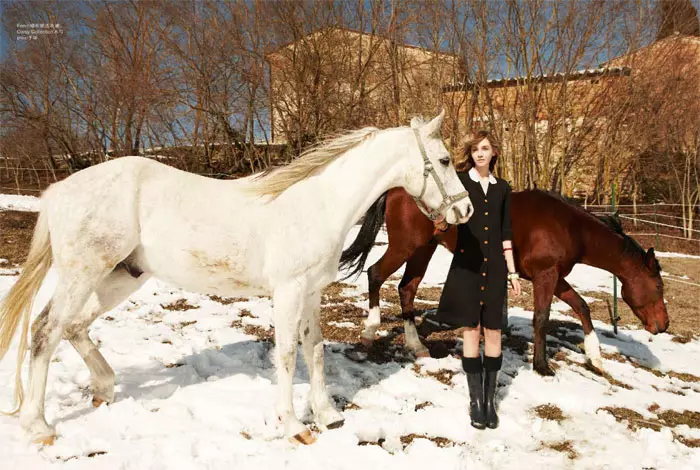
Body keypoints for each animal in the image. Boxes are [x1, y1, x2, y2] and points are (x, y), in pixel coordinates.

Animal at [0, 110, 474, 444]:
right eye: (444, 160)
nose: (465, 210)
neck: (317, 205)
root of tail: (56, 191)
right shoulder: (288, 292)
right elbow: (287, 356)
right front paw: (293, 427)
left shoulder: (311, 294)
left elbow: (315, 351)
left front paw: (328, 416)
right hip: (84, 274)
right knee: (46, 331)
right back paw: (39, 427)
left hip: (122, 276)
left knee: (74, 327)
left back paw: (104, 388)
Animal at [342, 187, 668, 374]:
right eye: (658, 286)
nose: (663, 326)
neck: (569, 226)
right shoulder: (545, 276)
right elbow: (541, 318)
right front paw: (541, 366)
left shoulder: (554, 277)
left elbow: (582, 307)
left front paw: (595, 358)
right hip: (405, 247)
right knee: (375, 275)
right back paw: (369, 335)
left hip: (423, 249)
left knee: (406, 289)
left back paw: (417, 347)